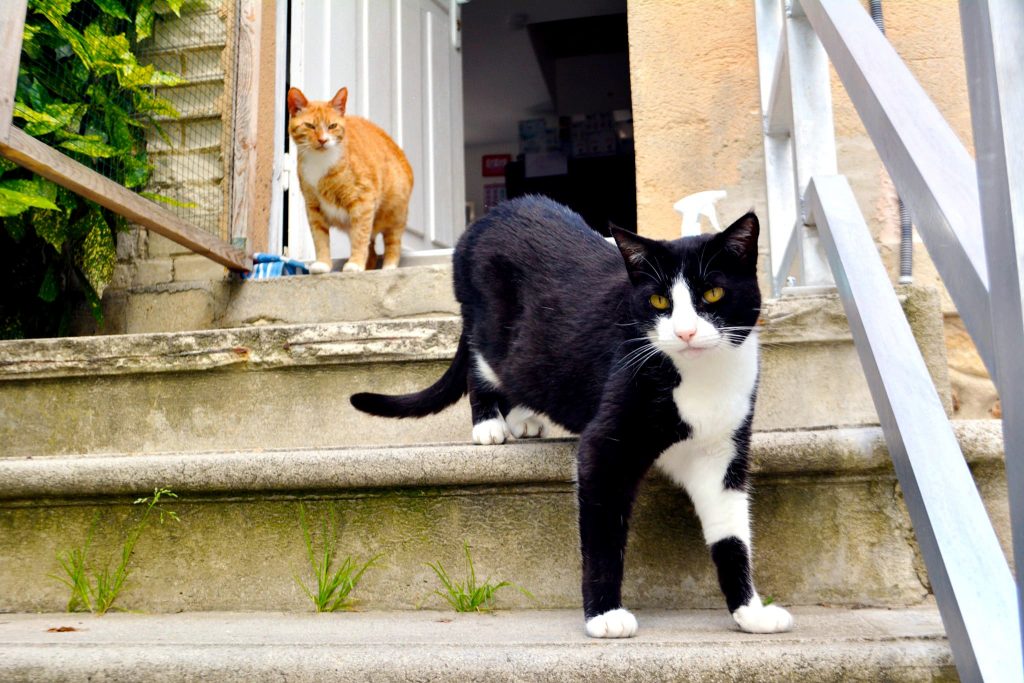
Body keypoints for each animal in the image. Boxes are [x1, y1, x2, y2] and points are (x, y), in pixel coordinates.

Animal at [284, 87, 411, 274]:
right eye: (310, 126)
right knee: (372, 252)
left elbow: (360, 236)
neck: (320, 162)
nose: (323, 140)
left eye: (332, 126)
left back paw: (388, 267)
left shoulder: (362, 200)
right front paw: (323, 264)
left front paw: (355, 263)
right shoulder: (313, 207)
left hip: (395, 214)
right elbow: (320, 238)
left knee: (392, 242)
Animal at [352, 194, 790, 638]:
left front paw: (749, 610)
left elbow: (732, 537)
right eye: (659, 302)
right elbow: (602, 535)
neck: (701, 379)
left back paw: (523, 418)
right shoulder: (605, 448)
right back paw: (489, 423)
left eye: (713, 293)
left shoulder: (721, 454)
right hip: (492, 327)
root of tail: (496, 213)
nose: (685, 333)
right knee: (483, 360)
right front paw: (604, 615)